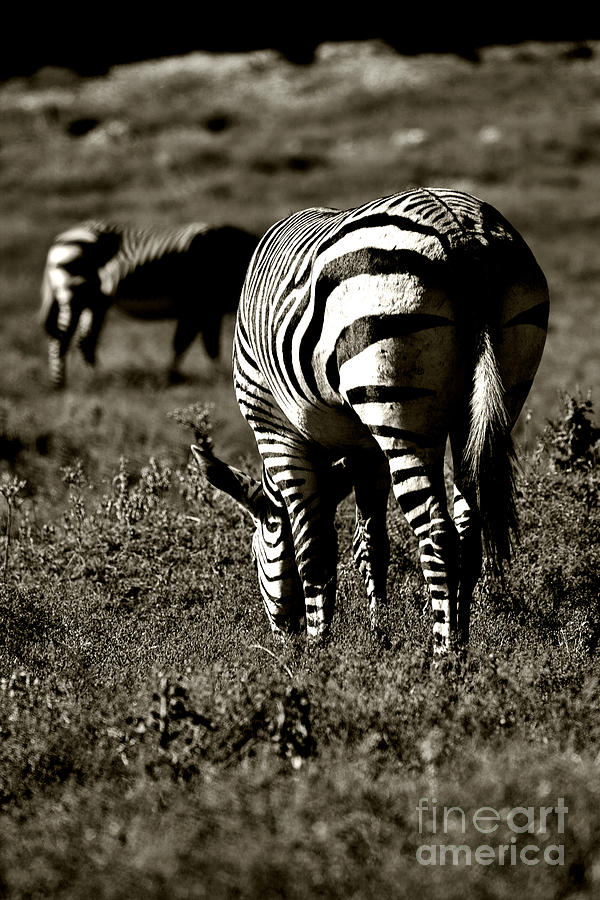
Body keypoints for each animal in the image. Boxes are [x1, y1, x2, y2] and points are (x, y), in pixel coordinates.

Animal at [39, 221, 260, 386]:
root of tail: (60, 240)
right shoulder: (202, 307)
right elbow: (197, 344)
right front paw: (180, 377)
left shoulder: (205, 310)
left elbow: (191, 343)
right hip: (73, 292)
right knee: (62, 338)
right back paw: (61, 384)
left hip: (95, 301)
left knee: (84, 341)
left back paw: (99, 379)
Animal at [191, 190, 548, 652]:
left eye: (253, 554)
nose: (284, 634)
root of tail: (457, 226)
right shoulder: (367, 451)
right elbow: (371, 545)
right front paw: (379, 638)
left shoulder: (276, 433)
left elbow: (313, 551)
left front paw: (318, 647)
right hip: (493, 399)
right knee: (468, 531)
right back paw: (462, 642)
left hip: (396, 402)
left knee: (438, 535)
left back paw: (443, 654)